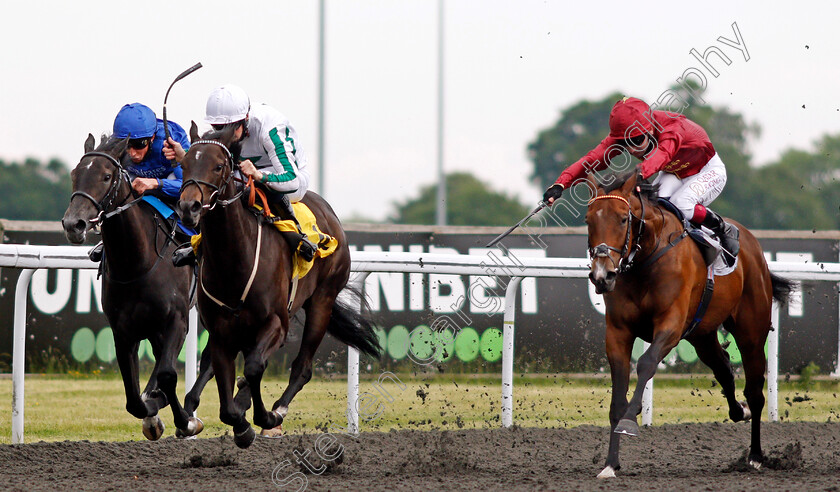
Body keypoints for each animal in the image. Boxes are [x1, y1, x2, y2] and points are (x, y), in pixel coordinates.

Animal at [62, 134, 205, 438]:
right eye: (74, 174)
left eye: (106, 176)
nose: (73, 224)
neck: (137, 264)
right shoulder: (123, 330)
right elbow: (133, 398)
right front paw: (152, 412)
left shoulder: (177, 320)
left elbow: (167, 374)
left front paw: (185, 420)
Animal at [176, 123, 382, 450]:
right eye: (183, 165)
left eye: (218, 166)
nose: (188, 207)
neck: (235, 258)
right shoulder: (221, 331)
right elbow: (224, 390)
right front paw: (238, 422)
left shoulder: (276, 322)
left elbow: (253, 368)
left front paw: (265, 418)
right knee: (219, 362)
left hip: (321, 301)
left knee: (301, 367)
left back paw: (277, 409)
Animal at [584, 170, 796, 480]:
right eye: (589, 220)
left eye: (623, 219)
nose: (602, 275)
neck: (646, 259)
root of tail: (753, 247)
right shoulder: (618, 332)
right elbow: (617, 398)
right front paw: (611, 463)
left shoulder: (670, 325)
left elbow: (646, 363)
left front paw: (630, 420)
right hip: (702, 335)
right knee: (723, 368)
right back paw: (739, 411)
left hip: (751, 332)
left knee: (755, 392)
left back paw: (755, 456)